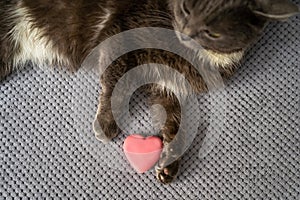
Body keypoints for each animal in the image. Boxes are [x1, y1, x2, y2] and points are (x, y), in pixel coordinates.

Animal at [1, 0, 298, 184]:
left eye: (212, 32)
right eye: (186, 8)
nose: (186, 32)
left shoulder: (170, 87)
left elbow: (177, 123)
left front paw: (169, 164)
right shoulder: (120, 34)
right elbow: (116, 83)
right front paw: (106, 124)